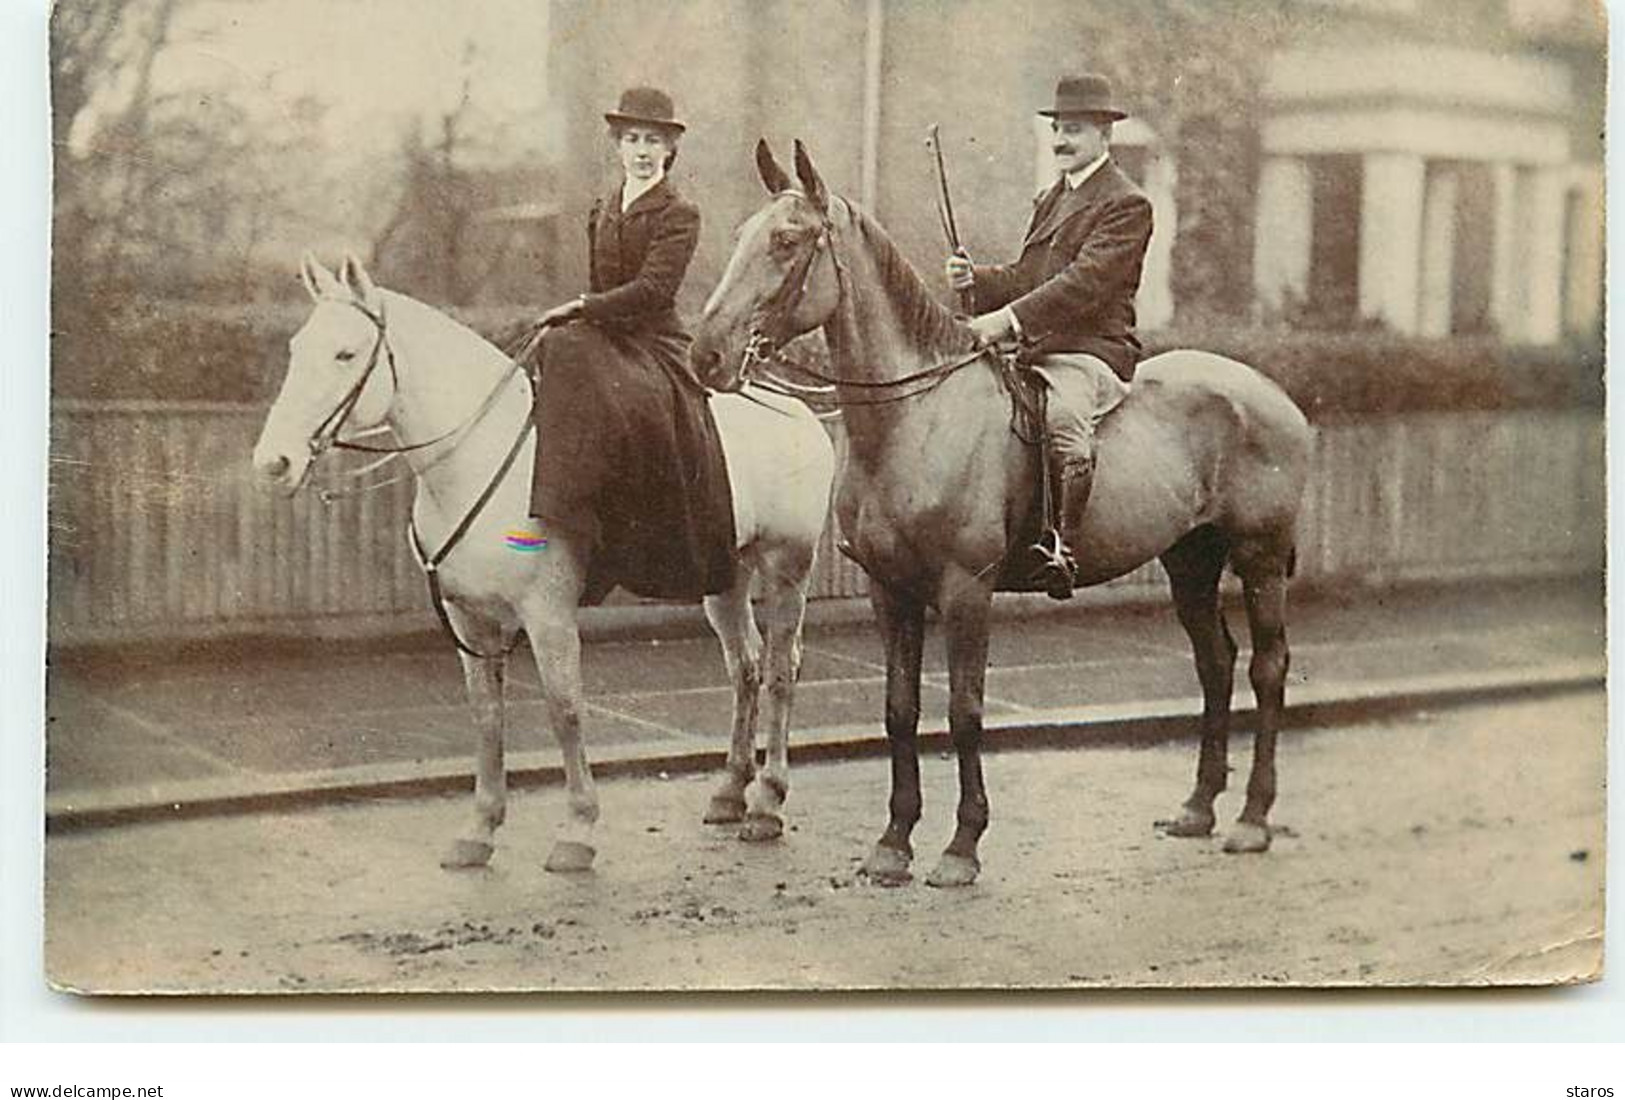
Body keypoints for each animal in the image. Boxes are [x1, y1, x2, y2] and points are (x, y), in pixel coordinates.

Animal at [256, 253, 838, 870]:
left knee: (779, 672)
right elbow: (487, 715)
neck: (478, 454)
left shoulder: (547, 613)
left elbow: (565, 710)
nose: (273, 463)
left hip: (787, 569)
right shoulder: (470, 618)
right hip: (724, 577)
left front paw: (578, 828)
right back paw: (730, 790)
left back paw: (767, 802)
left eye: (345, 354)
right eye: (296, 348)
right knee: (745, 667)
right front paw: (480, 827)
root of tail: (798, 410)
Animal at [692, 143, 1313, 883]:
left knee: (1266, 668)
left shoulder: (968, 589)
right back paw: (1197, 808)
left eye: (786, 241)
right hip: (1189, 558)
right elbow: (900, 709)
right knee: (1214, 664)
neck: (917, 417)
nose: (707, 354)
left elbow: (964, 711)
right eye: (740, 237)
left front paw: (961, 845)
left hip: (1258, 557)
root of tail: (1271, 392)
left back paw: (1251, 818)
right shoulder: (889, 588)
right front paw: (894, 842)